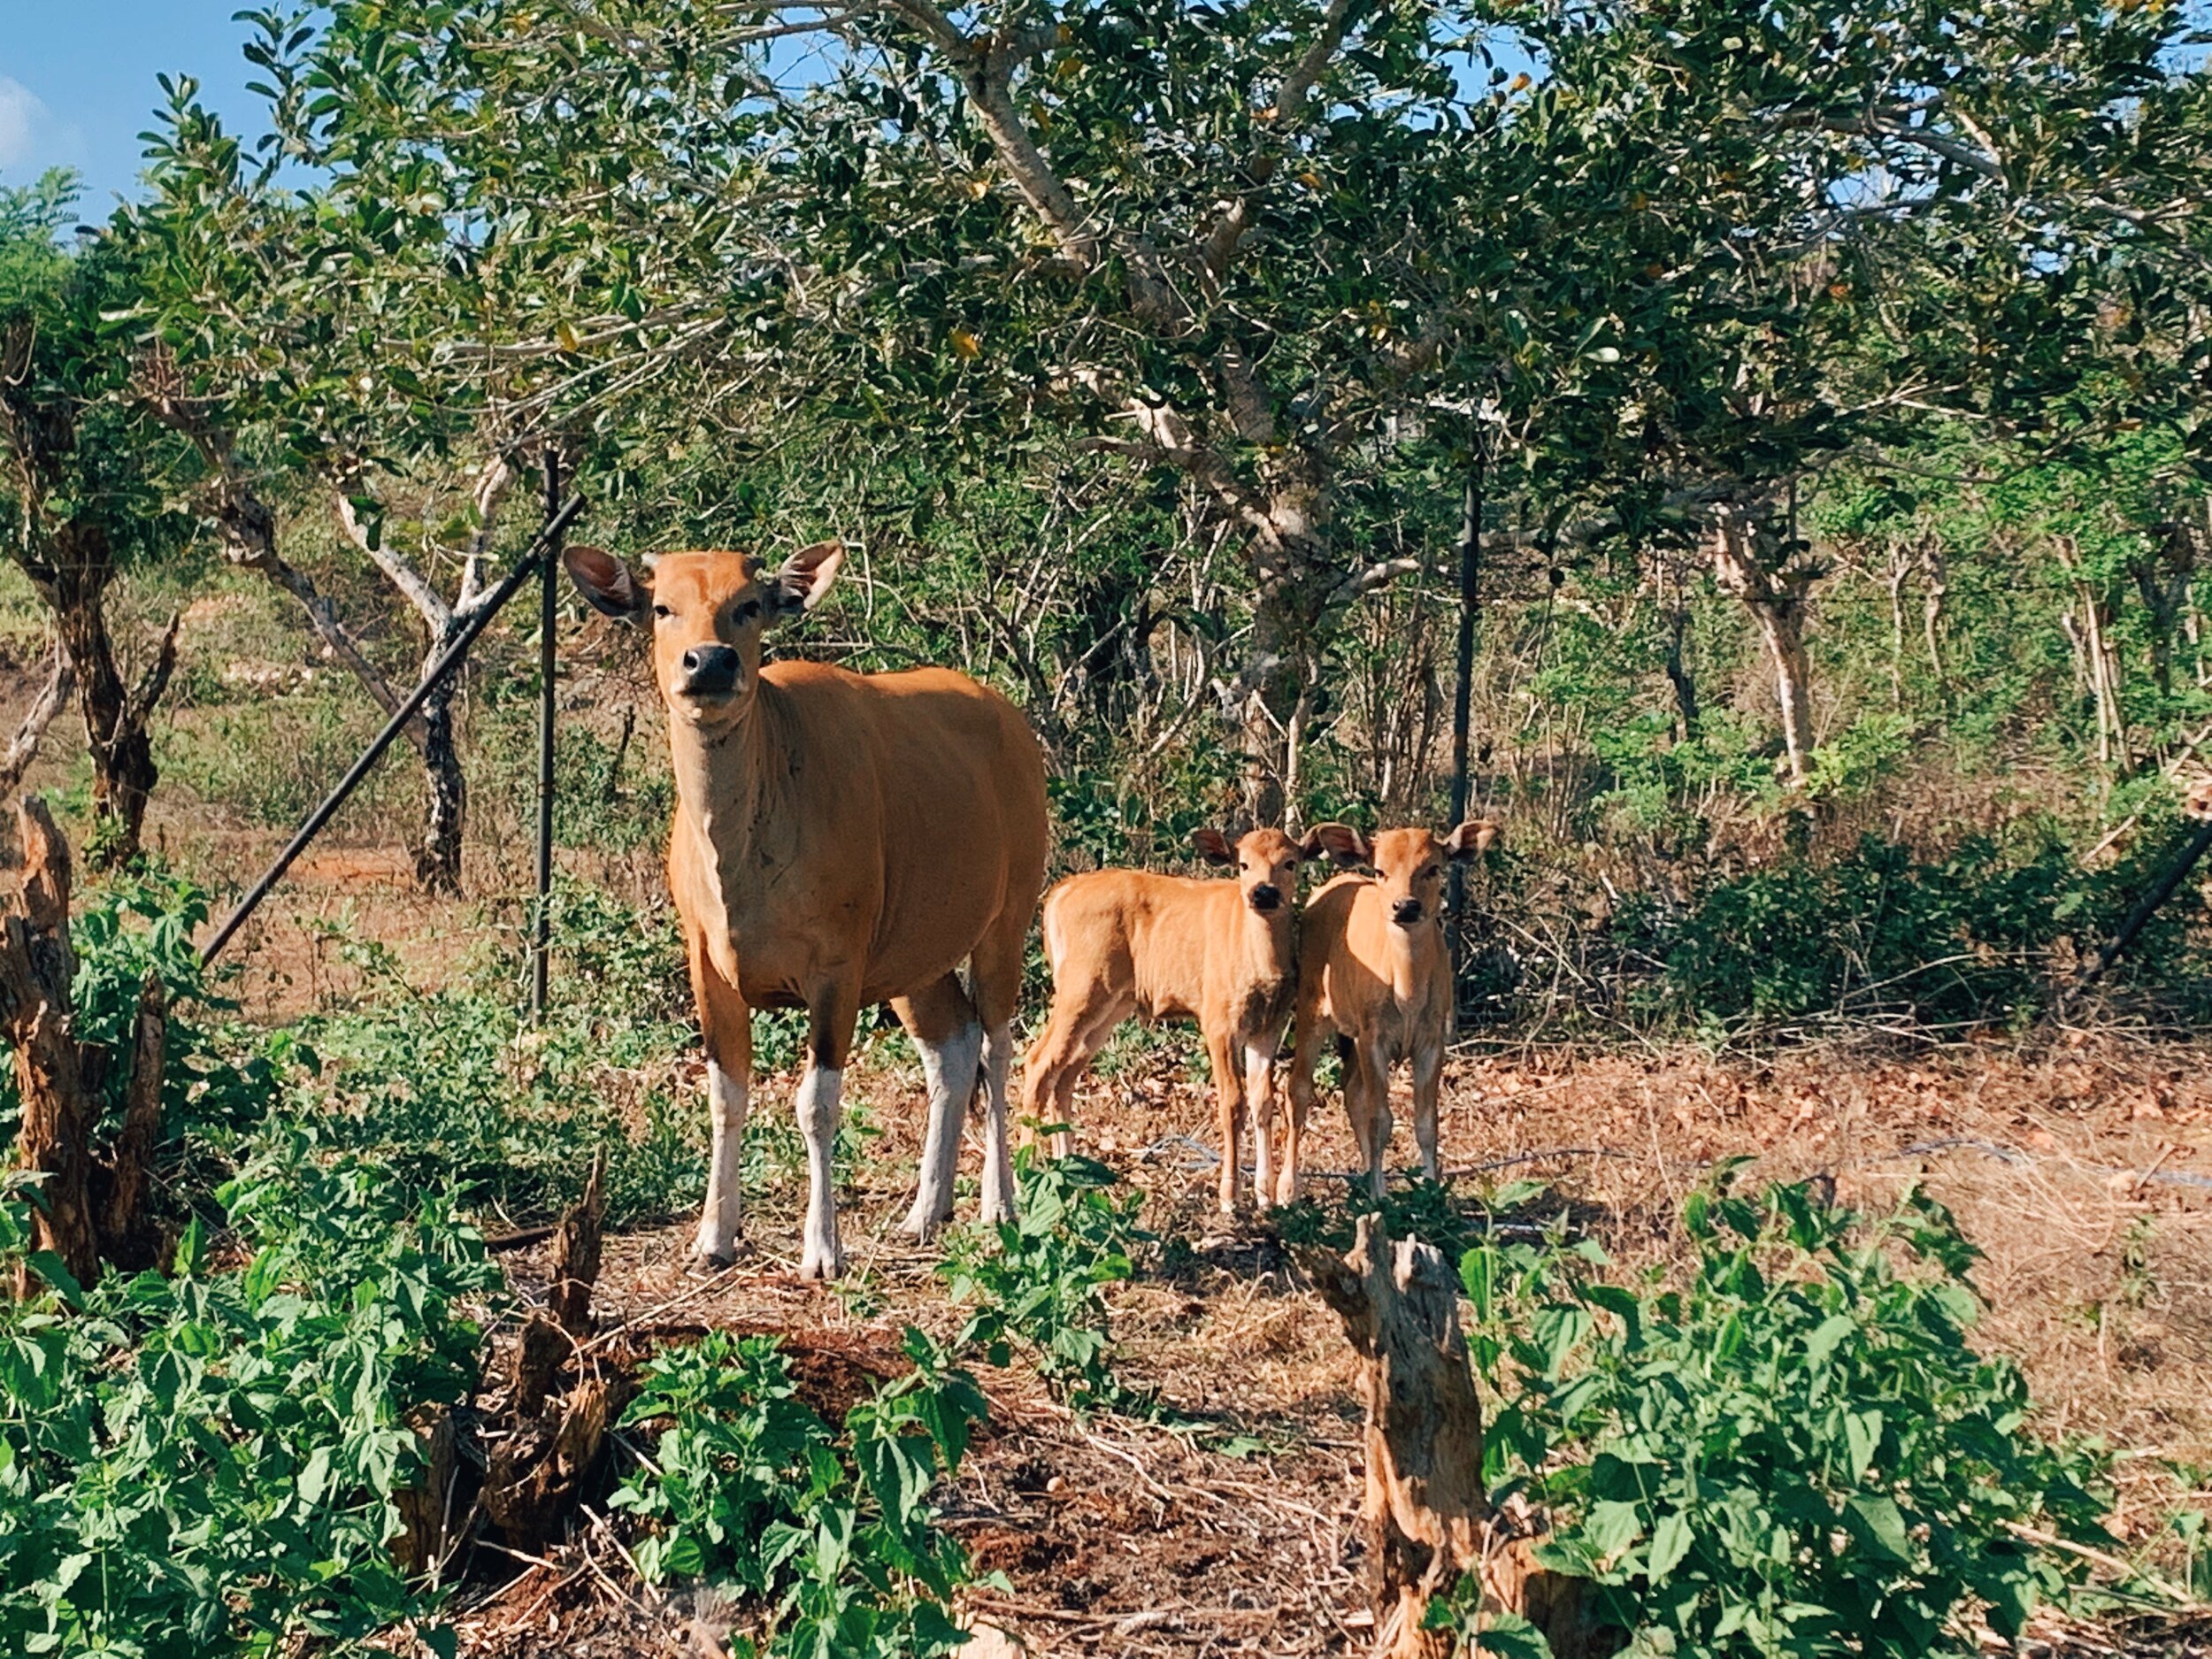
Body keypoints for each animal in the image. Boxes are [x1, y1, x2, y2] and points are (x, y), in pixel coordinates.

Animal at [571, 546, 1053, 1283]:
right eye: (662, 607)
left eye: (748, 605)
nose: (710, 663)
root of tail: (1015, 730)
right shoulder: (707, 967)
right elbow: (726, 1096)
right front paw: (714, 1236)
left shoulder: (835, 970)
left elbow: (817, 1104)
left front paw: (822, 1245)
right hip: (915, 955)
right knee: (953, 1046)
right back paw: (926, 1209)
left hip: (1008, 919)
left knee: (998, 1049)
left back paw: (999, 1204)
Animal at [1013, 827, 1336, 1212]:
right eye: (1243, 863)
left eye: (1290, 862)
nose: (1263, 893)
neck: (1258, 960)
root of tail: (1058, 894)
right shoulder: (1217, 1020)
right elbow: (1233, 1102)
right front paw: (1230, 1195)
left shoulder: (1268, 1027)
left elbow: (1263, 1101)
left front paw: (1264, 1194)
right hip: (1081, 986)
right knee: (1038, 1061)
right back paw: (1022, 1184)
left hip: (1112, 1003)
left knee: (1064, 1074)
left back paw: (1070, 1179)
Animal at [1283, 823, 1504, 1203]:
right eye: (1380, 870)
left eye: (1433, 868)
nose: (1405, 906)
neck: (1407, 996)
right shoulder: (1373, 1038)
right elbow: (1380, 1120)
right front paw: (1380, 1197)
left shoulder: (1432, 1040)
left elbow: (1427, 1122)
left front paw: (1430, 1192)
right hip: (1313, 1006)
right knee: (1298, 1088)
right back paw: (1285, 1188)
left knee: (1351, 1090)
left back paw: (1364, 1175)